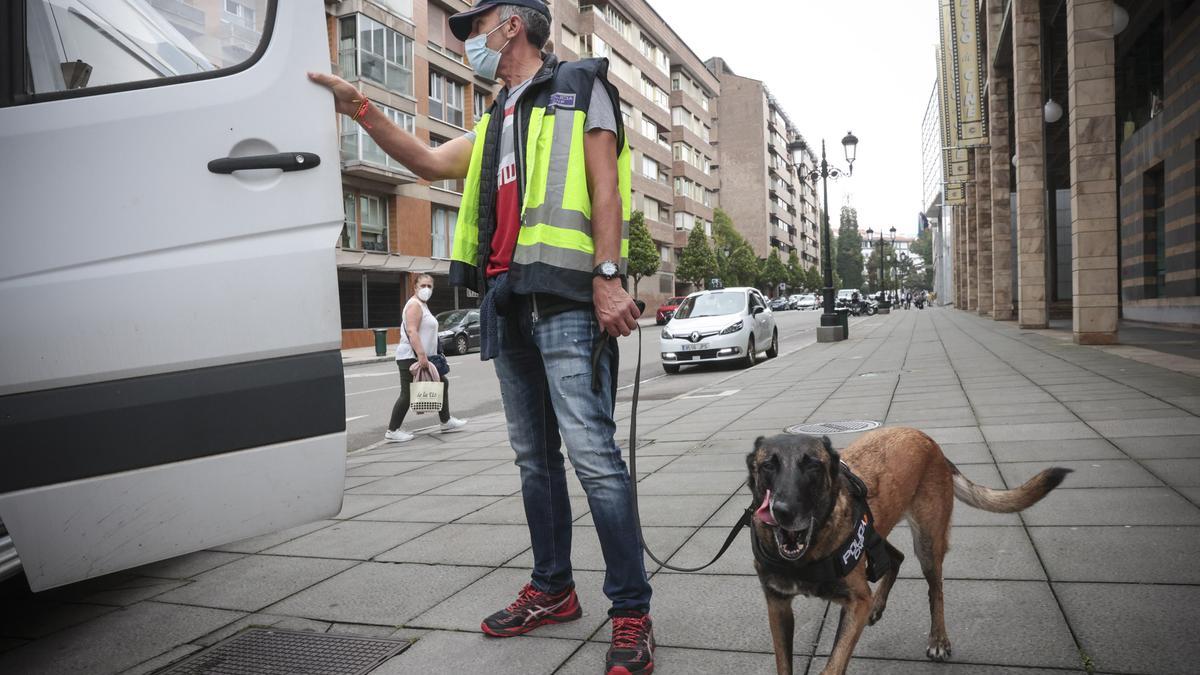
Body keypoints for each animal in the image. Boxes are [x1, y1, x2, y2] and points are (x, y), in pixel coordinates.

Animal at [744, 427, 1075, 667]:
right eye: (768, 466)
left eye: (812, 466)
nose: (782, 511)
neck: (806, 557)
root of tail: (927, 439)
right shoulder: (778, 607)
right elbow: (783, 662)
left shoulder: (855, 603)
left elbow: (833, 665)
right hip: (877, 532)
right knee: (896, 558)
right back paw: (879, 604)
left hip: (928, 542)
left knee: (935, 589)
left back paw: (938, 638)